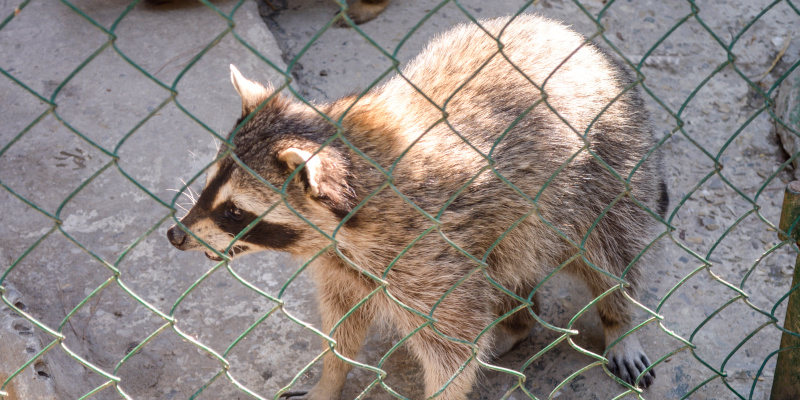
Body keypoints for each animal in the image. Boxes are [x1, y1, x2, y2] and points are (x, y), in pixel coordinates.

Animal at [169, 14, 668, 398]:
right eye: (210, 184)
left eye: (234, 211)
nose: (176, 235)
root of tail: (573, 38)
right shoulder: (345, 267)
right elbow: (342, 323)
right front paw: (330, 377)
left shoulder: (427, 253)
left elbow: (455, 344)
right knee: (509, 264)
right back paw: (517, 324)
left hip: (609, 169)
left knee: (610, 252)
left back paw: (618, 321)